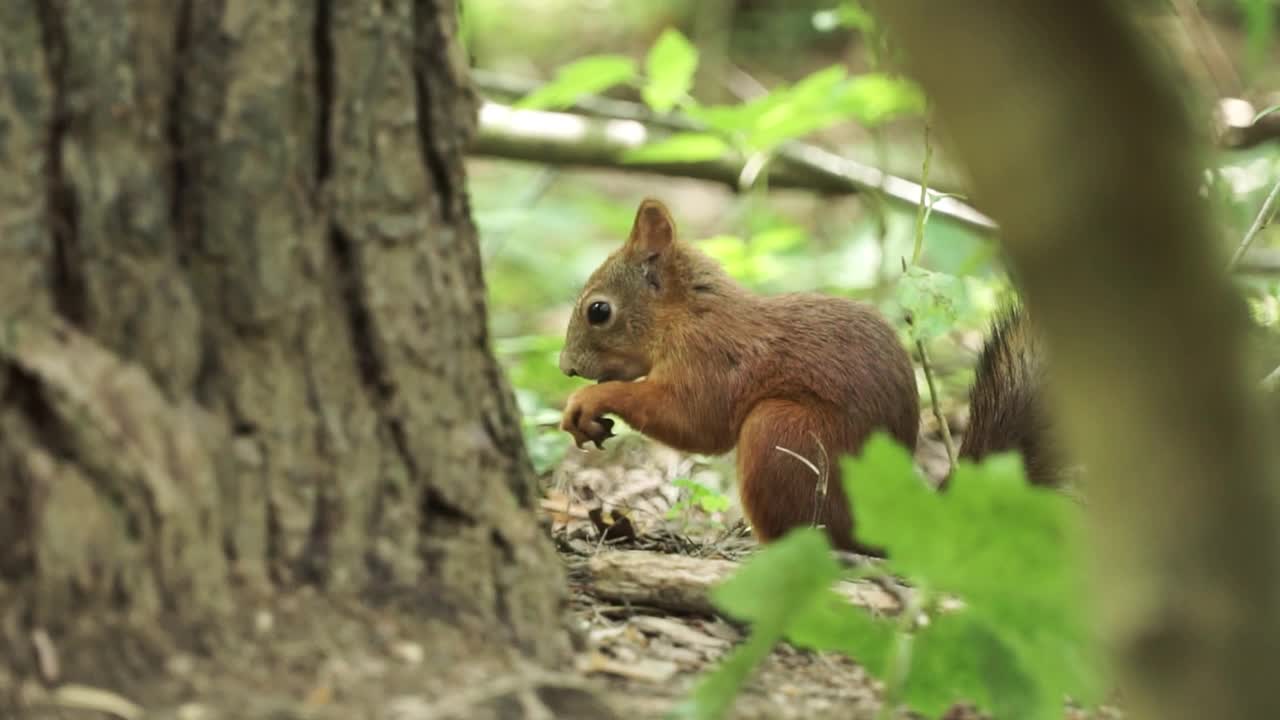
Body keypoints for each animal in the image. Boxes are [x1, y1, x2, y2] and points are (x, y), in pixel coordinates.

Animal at [558, 198, 1049, 550]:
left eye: (598, 311)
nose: (566, 368)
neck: (687, 313)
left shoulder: (710, 358)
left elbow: (697, 421)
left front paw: (587, 401)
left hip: (779, 433)